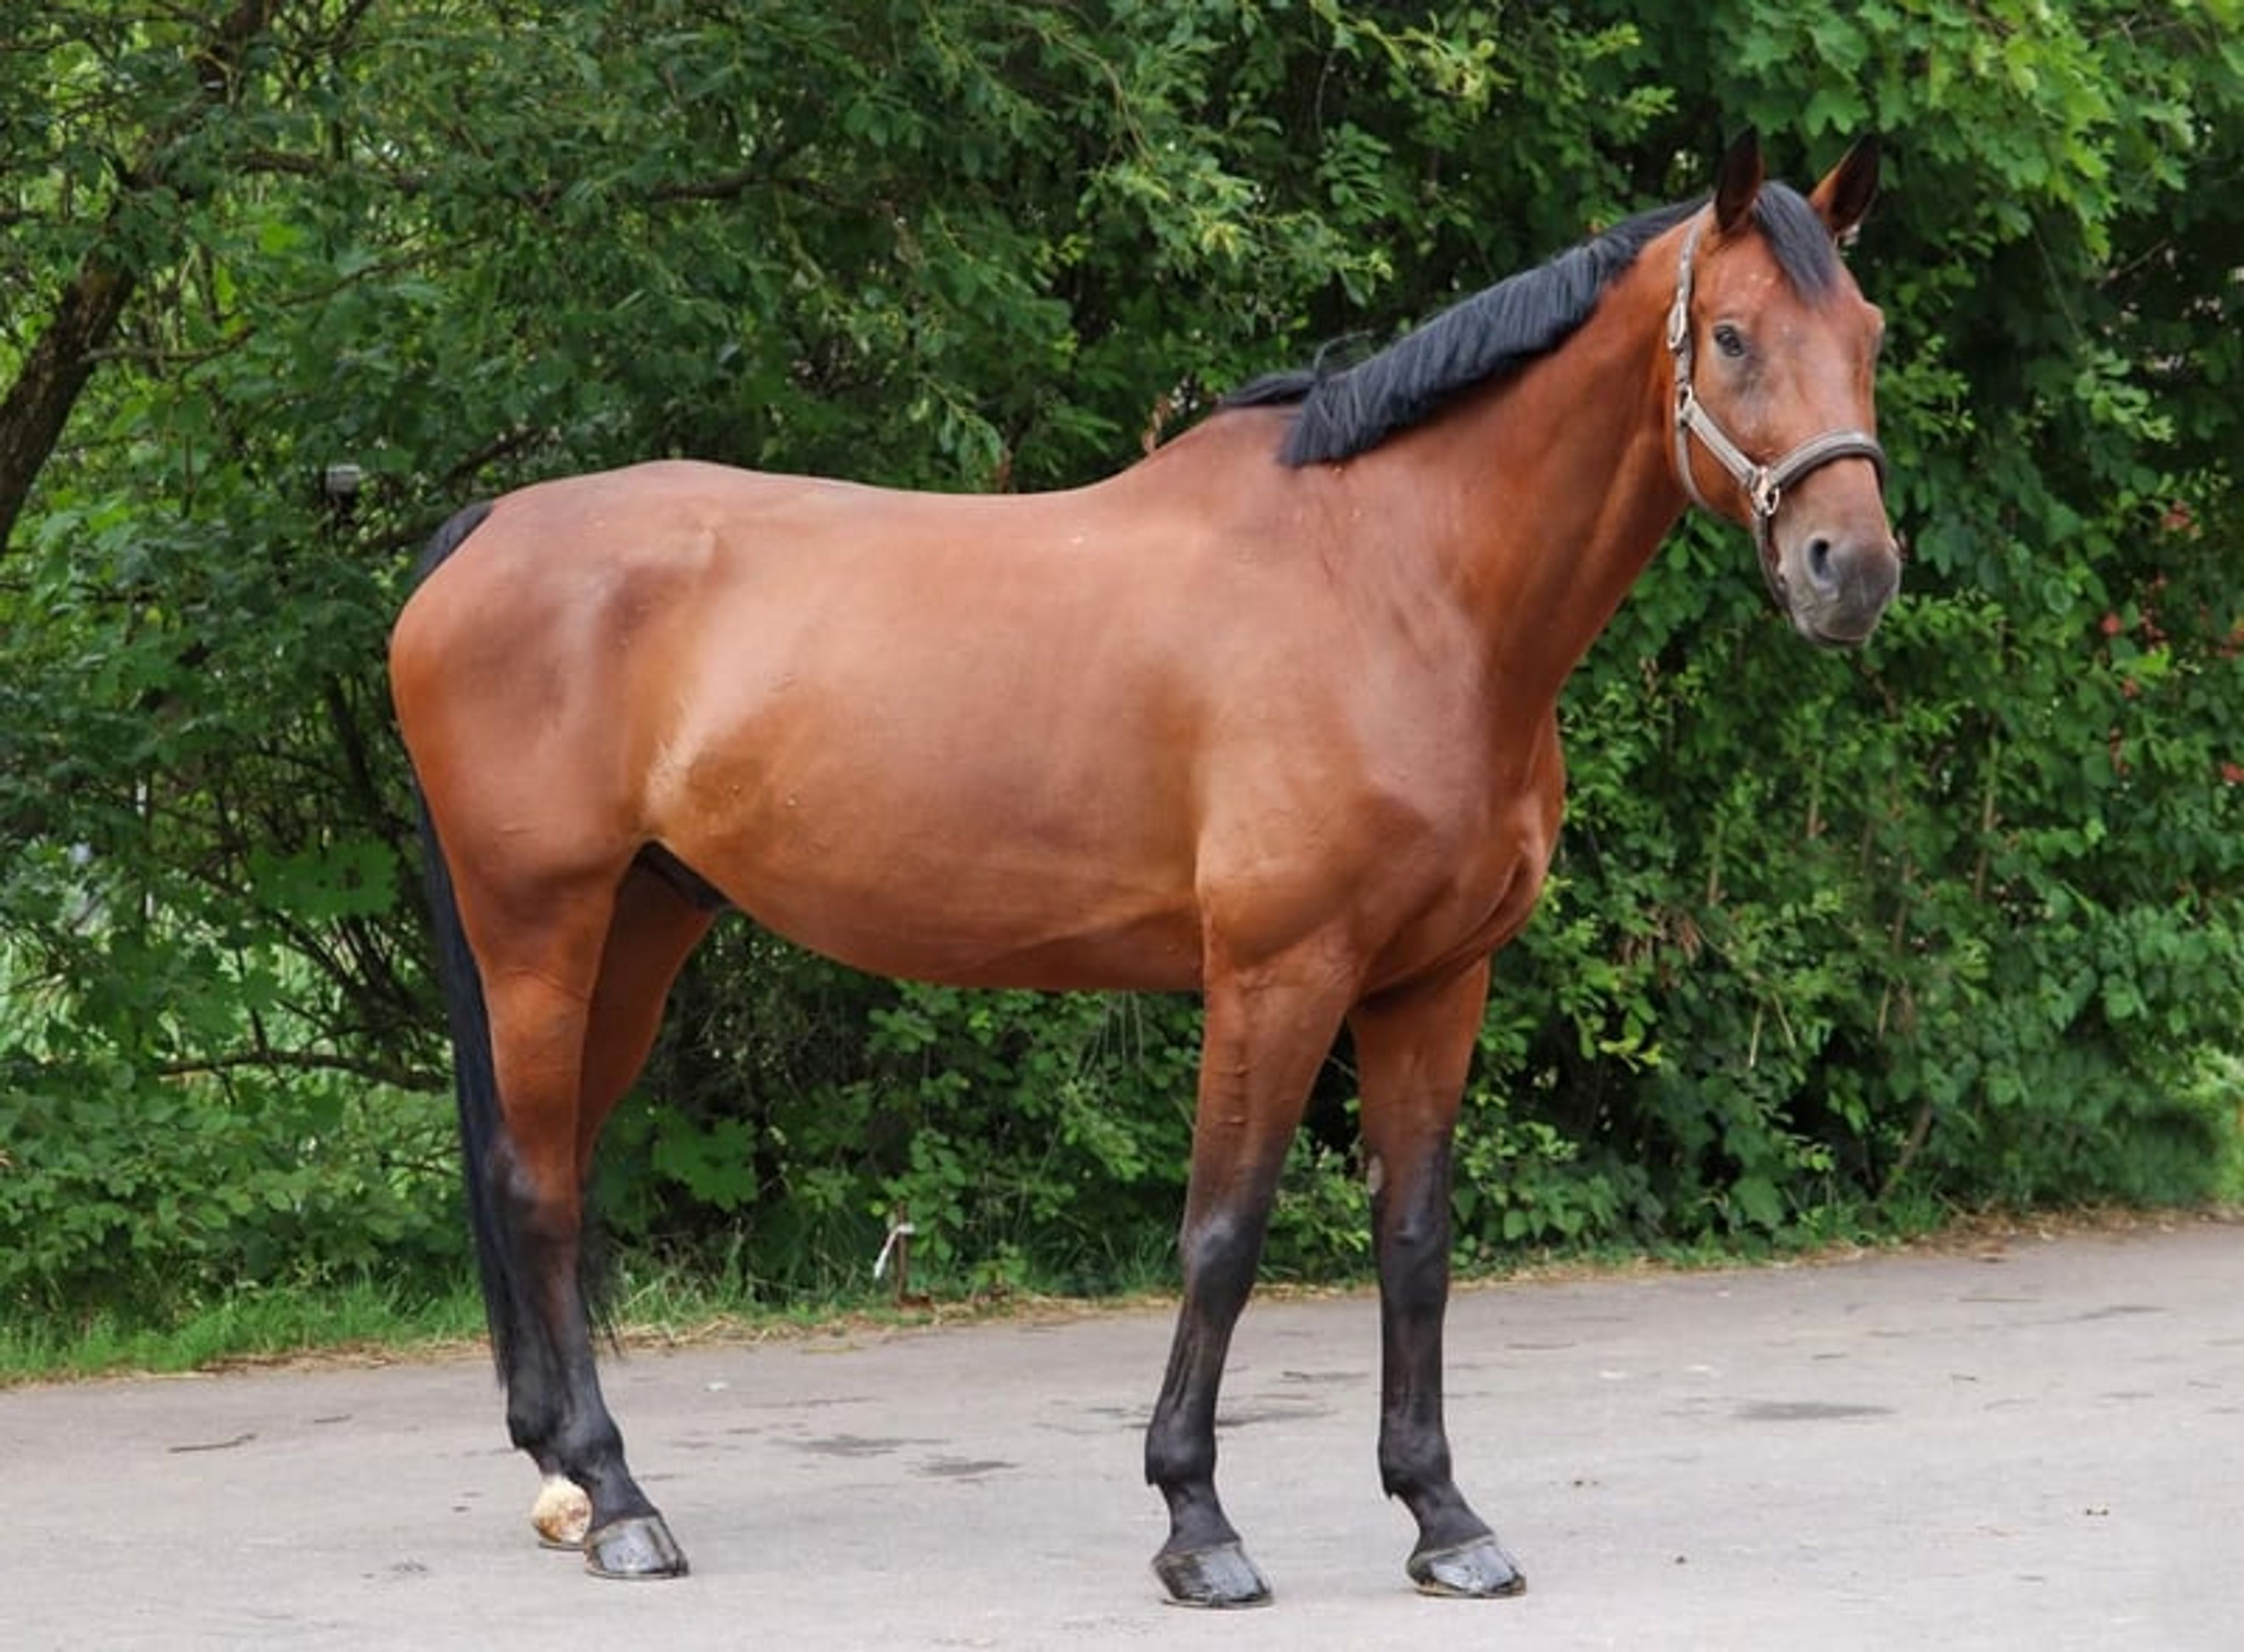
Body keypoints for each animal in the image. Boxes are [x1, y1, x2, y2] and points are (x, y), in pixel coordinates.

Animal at [388, 130, 1898, 1606]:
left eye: (1868, 333)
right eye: (1732, 337)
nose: (1853, 569)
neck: (1397, 586)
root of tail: (487, 532)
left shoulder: (1434, 982)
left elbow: (1414, 1238)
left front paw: (1442, 1514)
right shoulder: (1278, 975)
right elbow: (1222, 1234)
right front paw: (1196, 1520)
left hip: (642, 926)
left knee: (553, 1166)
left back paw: (567, 1477)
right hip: (540, 931)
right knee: (539, 1186)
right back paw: (620, 1499)